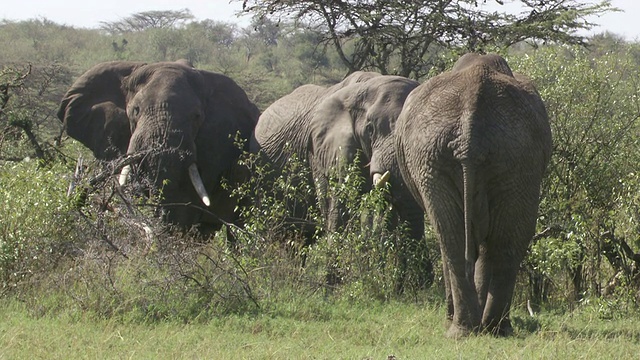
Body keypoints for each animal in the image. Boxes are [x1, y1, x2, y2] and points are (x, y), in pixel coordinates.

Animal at [392, 52, 552, 336]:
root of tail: (470, 132)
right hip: (508, 155)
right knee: (498, 239)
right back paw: (487, 328)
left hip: (446, 157)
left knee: (457, 238)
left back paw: (471, 328)